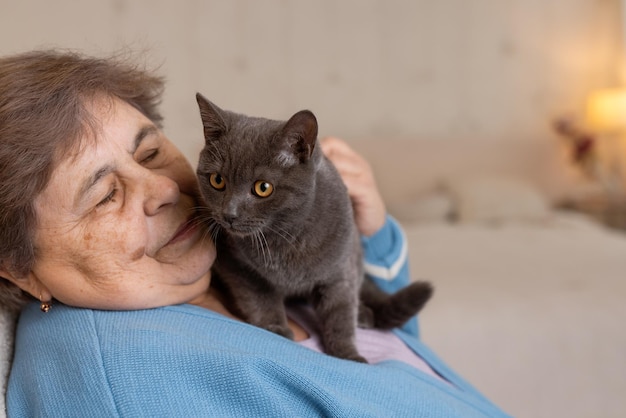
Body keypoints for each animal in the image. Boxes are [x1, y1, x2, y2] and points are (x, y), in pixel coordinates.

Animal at [194, 93, 428, 360]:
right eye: (217, 180)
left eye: (263, 188)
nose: (229, 214)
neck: (286, 237)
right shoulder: (236, 263)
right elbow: (259, 296)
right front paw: (275, 328)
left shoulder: (340, 270)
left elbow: (340, 312)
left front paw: (348, 355)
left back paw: (363, 315)